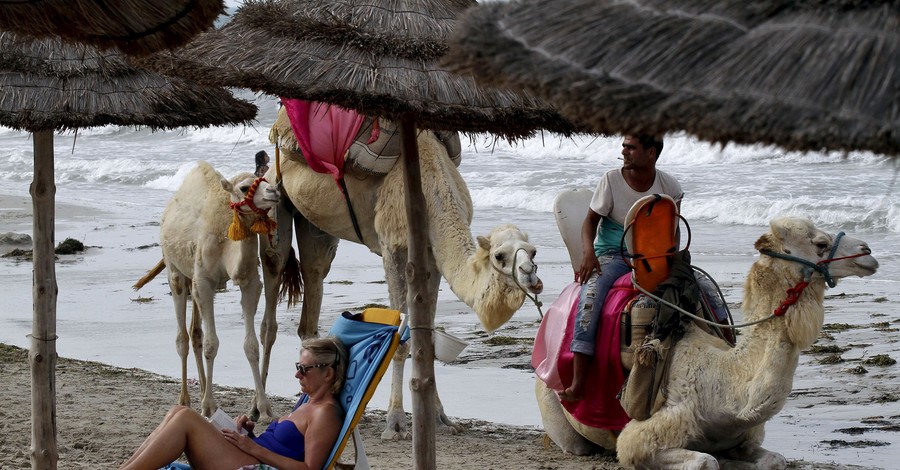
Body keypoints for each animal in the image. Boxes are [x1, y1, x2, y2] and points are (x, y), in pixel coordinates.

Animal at [134, 162, 280, 418]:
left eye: (264, 180)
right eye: (244, 188)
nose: (274, 192)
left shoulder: (249, 283)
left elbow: (251, 346)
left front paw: (263, 408)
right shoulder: (204, 282)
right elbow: (212, 345)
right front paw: (209, 406)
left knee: (195, 334)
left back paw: (202, 389)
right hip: (175, 271)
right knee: (182, 336)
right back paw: (186, 399)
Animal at [256, 108, 544, 438]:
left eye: (532, 251)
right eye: (500, 255)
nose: (530, 276)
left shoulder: (432, 258)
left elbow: (427, 339)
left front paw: (440, 418)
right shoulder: (392, 246)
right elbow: (400, 339)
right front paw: (395, 422)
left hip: (316, 225)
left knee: (314, 280)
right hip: (273, 198)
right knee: (272, 286)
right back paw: (261, 409)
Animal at [536, 218, 876, 470]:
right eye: (820, 243)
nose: (868, 251)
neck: (724, 388)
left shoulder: (744, 437)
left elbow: (774, 460)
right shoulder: (642, 436)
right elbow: (703, 462)